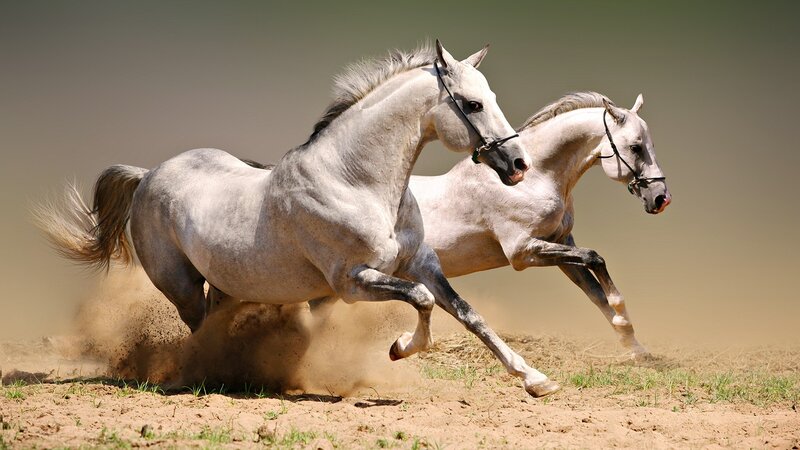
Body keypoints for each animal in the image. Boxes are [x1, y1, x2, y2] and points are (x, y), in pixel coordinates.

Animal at [36, 41, 566, 397]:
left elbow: (467, 313)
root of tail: (148, 175)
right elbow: (421, 301)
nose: (518, 164)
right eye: (473, 104)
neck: (355, 181)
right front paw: (399, 347)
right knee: (198, 328)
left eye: (492, 97)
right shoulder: (352, 282)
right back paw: (205, 375)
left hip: (227, 284)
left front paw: (536, 379)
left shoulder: (421, 264)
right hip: (180, 284)